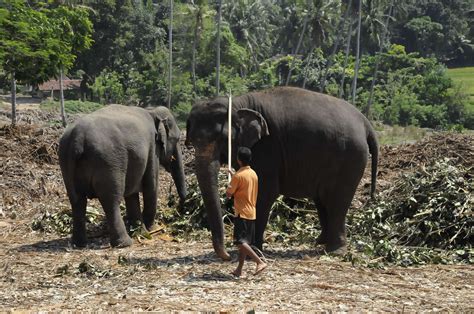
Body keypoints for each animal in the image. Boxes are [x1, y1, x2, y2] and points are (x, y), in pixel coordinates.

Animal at [58, 105, 186, 248]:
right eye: (177, 139)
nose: (181, 208)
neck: (152, 111)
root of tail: (77, 138)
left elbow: (132, 195)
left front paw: (140, 231)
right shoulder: (152, 149)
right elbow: (151, 187)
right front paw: (153, 229)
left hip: (65, 161)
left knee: (77, 200)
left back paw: (80, 243)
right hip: (108, 163)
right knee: (111, 200)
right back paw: (124, 243)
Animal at [185, 86, 378, 260]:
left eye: (223, 139)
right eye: (191, 140)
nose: (225, 256)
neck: (239, 103)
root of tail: (365, 122)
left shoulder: (267, 149)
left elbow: (264, 193)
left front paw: (253, 251)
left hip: (350, 159)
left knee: (337, 201)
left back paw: (335, 251)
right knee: (322, 200)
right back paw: (320, 243)